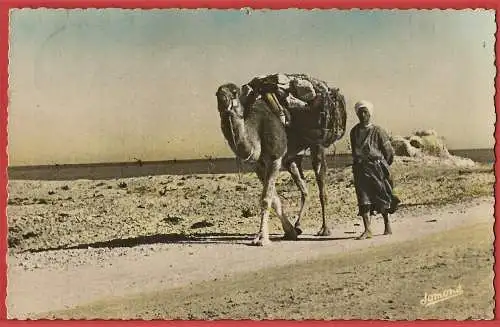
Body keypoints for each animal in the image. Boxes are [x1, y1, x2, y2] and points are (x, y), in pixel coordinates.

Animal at [214, 83, 296, 247]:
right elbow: (274, 199)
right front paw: (290, 231)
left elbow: (266, 199)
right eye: (216, 94)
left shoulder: (275, 159)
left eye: (235, 92)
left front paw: (262, 238)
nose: (224, 100)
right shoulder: (258, 165)